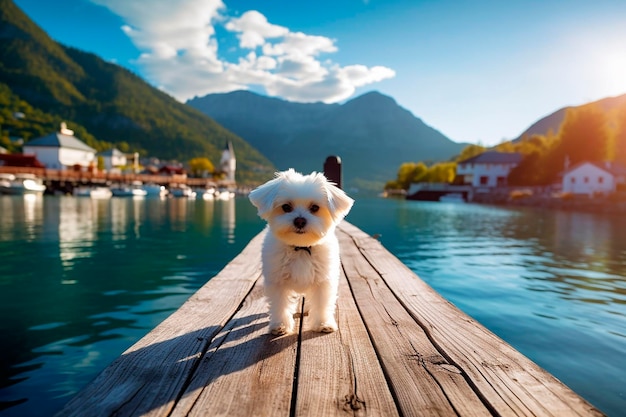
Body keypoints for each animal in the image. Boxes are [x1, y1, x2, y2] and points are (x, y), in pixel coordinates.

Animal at [250, 169, 356, 334]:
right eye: (286, 207)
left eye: (315, 208)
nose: (299, 221)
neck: (301, 248)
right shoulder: (278, 281)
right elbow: (280, 304)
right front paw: (280, 325)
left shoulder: (323, 281)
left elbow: (322, 304)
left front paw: (323, 324)